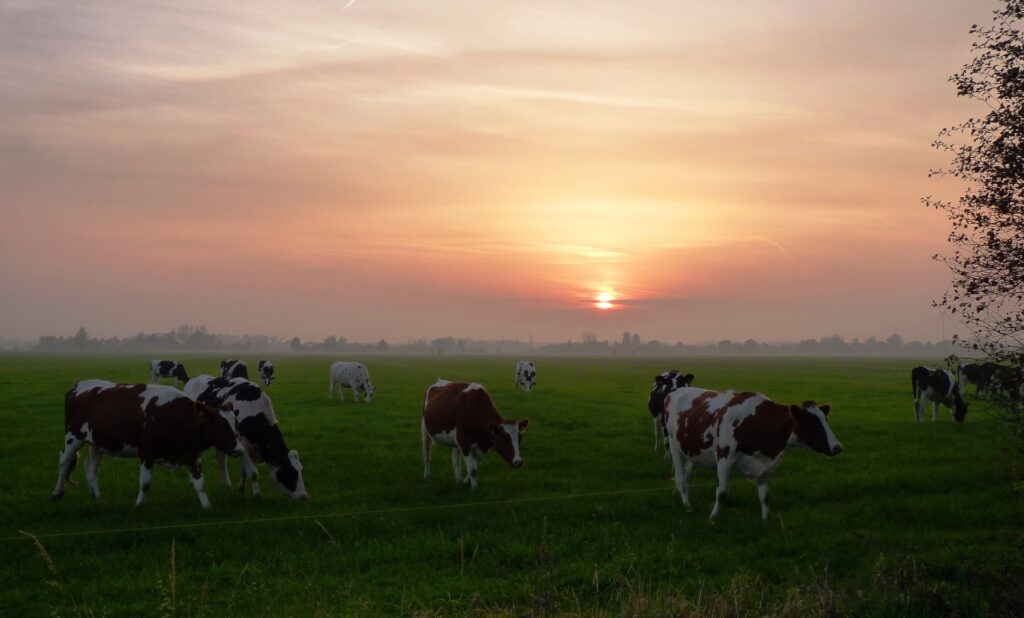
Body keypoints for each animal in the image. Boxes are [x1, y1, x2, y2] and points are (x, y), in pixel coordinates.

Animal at [53, 378, 241, 509]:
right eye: (221, 426)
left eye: (235, 424)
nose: (239, 449)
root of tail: (79, 385)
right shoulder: (147, 453)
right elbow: (145, 483)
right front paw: (139, 505)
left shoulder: (193, 456)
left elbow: (200, 484)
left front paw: (207, 506)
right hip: (73, 437)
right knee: (64, 461)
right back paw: (57, 492)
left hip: (97, 443)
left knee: (91, 468)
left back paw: (97, 498)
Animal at [663, 388, 839, 519]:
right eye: (813, 422)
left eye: (825, 419)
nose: (838, 447)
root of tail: (674, 392)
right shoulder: (724, 458)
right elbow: (722, 493)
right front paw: (713, 517)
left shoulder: (765, 465)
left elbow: (765, 495)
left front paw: (766, 519)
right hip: (673, 445)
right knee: (681, 478)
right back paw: (687, 505)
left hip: (692, 452)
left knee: (688, 477)